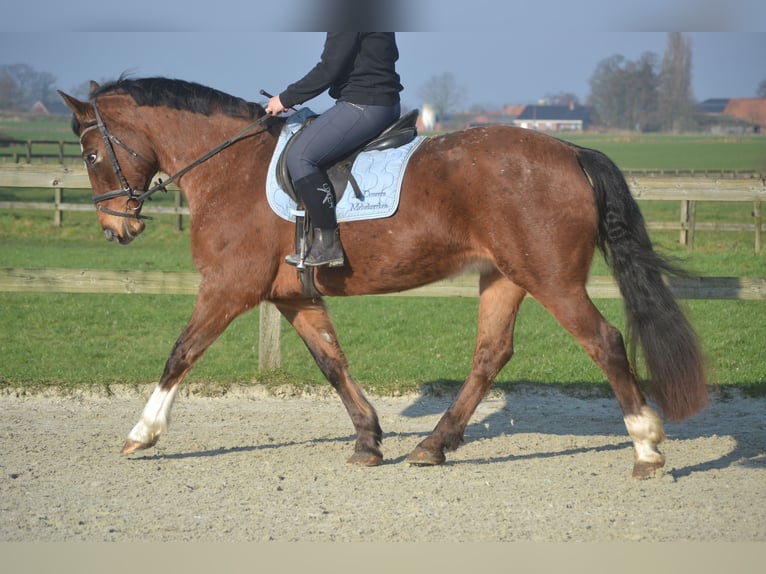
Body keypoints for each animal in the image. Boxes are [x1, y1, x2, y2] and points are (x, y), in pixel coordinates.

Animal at [58, 77, 708, 482]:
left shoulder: (228, 288)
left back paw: (647, 447)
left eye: (91, 155)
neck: (230, 167)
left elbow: (181, 352)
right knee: (490, 354)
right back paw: (432, 446)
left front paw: (142, 433)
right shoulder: (292, 297)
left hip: (552, 280)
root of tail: (570, 150)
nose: (117, 228)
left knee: (605, 343)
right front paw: (369, 441)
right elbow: (333, 364)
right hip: (504, 276)